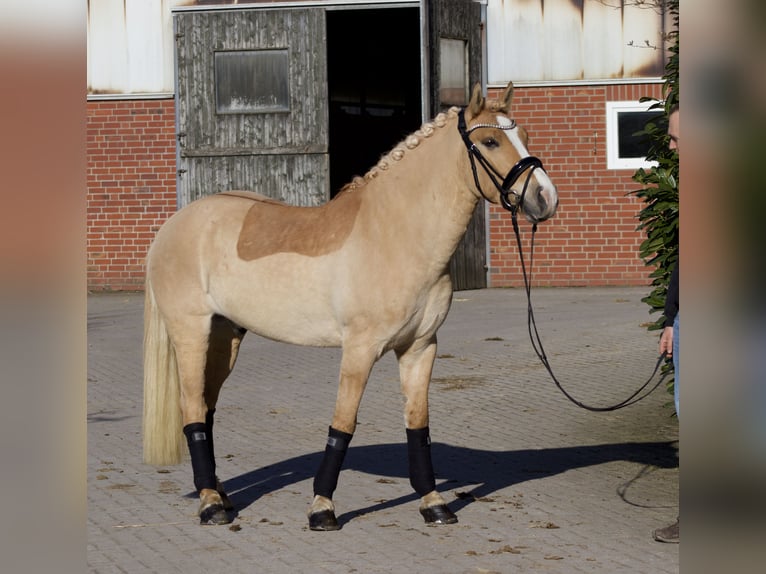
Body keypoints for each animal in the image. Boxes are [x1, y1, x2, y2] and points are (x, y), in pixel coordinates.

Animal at [142, 81, 559, 529]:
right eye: (490, 141)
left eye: (526, 136)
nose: (545, 197)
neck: (394, 234)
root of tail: (174, 225)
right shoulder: (360, 349)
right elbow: (343, 422)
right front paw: (322, 508)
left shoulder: (419, 348)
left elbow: (418, 423)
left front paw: (433, 503)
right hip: (191, 333)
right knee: (191, 408)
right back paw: (211, 505)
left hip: (225, 336)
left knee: (206, 407)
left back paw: (221, 494)